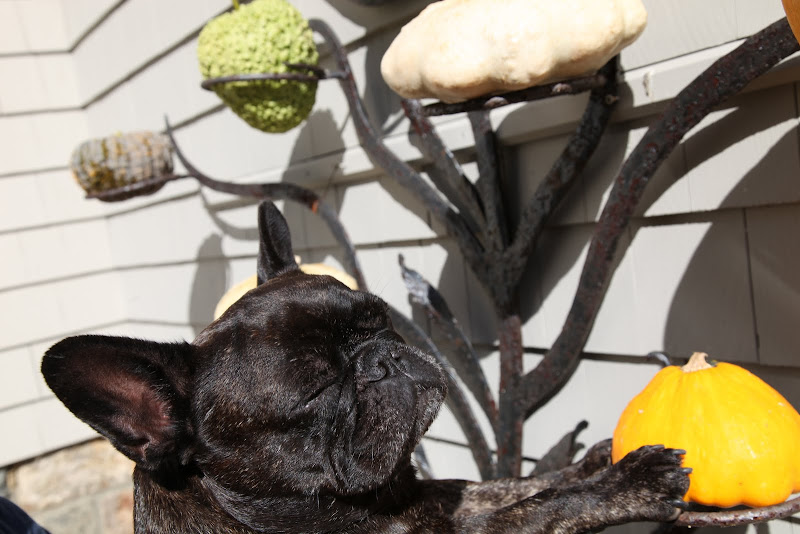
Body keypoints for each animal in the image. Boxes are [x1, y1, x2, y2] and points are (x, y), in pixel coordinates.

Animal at [42, 201, 690, 533]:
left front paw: (593, 464)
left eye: (379, 319)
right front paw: (627, 484)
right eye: (315, 389)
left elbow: (513, 486)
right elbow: (538, 508)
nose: (380, 358)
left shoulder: (437, 499)